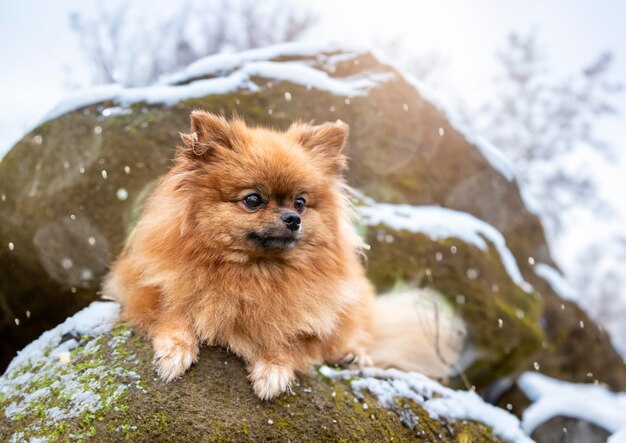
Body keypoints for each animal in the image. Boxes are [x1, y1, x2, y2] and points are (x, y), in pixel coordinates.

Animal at [103, 110, 464, 398]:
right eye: (253, 200)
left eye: (300, 202)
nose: (293, 218)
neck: (252, 272)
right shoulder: (144, 287)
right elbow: (172, 313)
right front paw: (175, 351)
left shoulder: (303, 318)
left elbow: (286, 338)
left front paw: (273, 369)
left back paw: (353, 355)